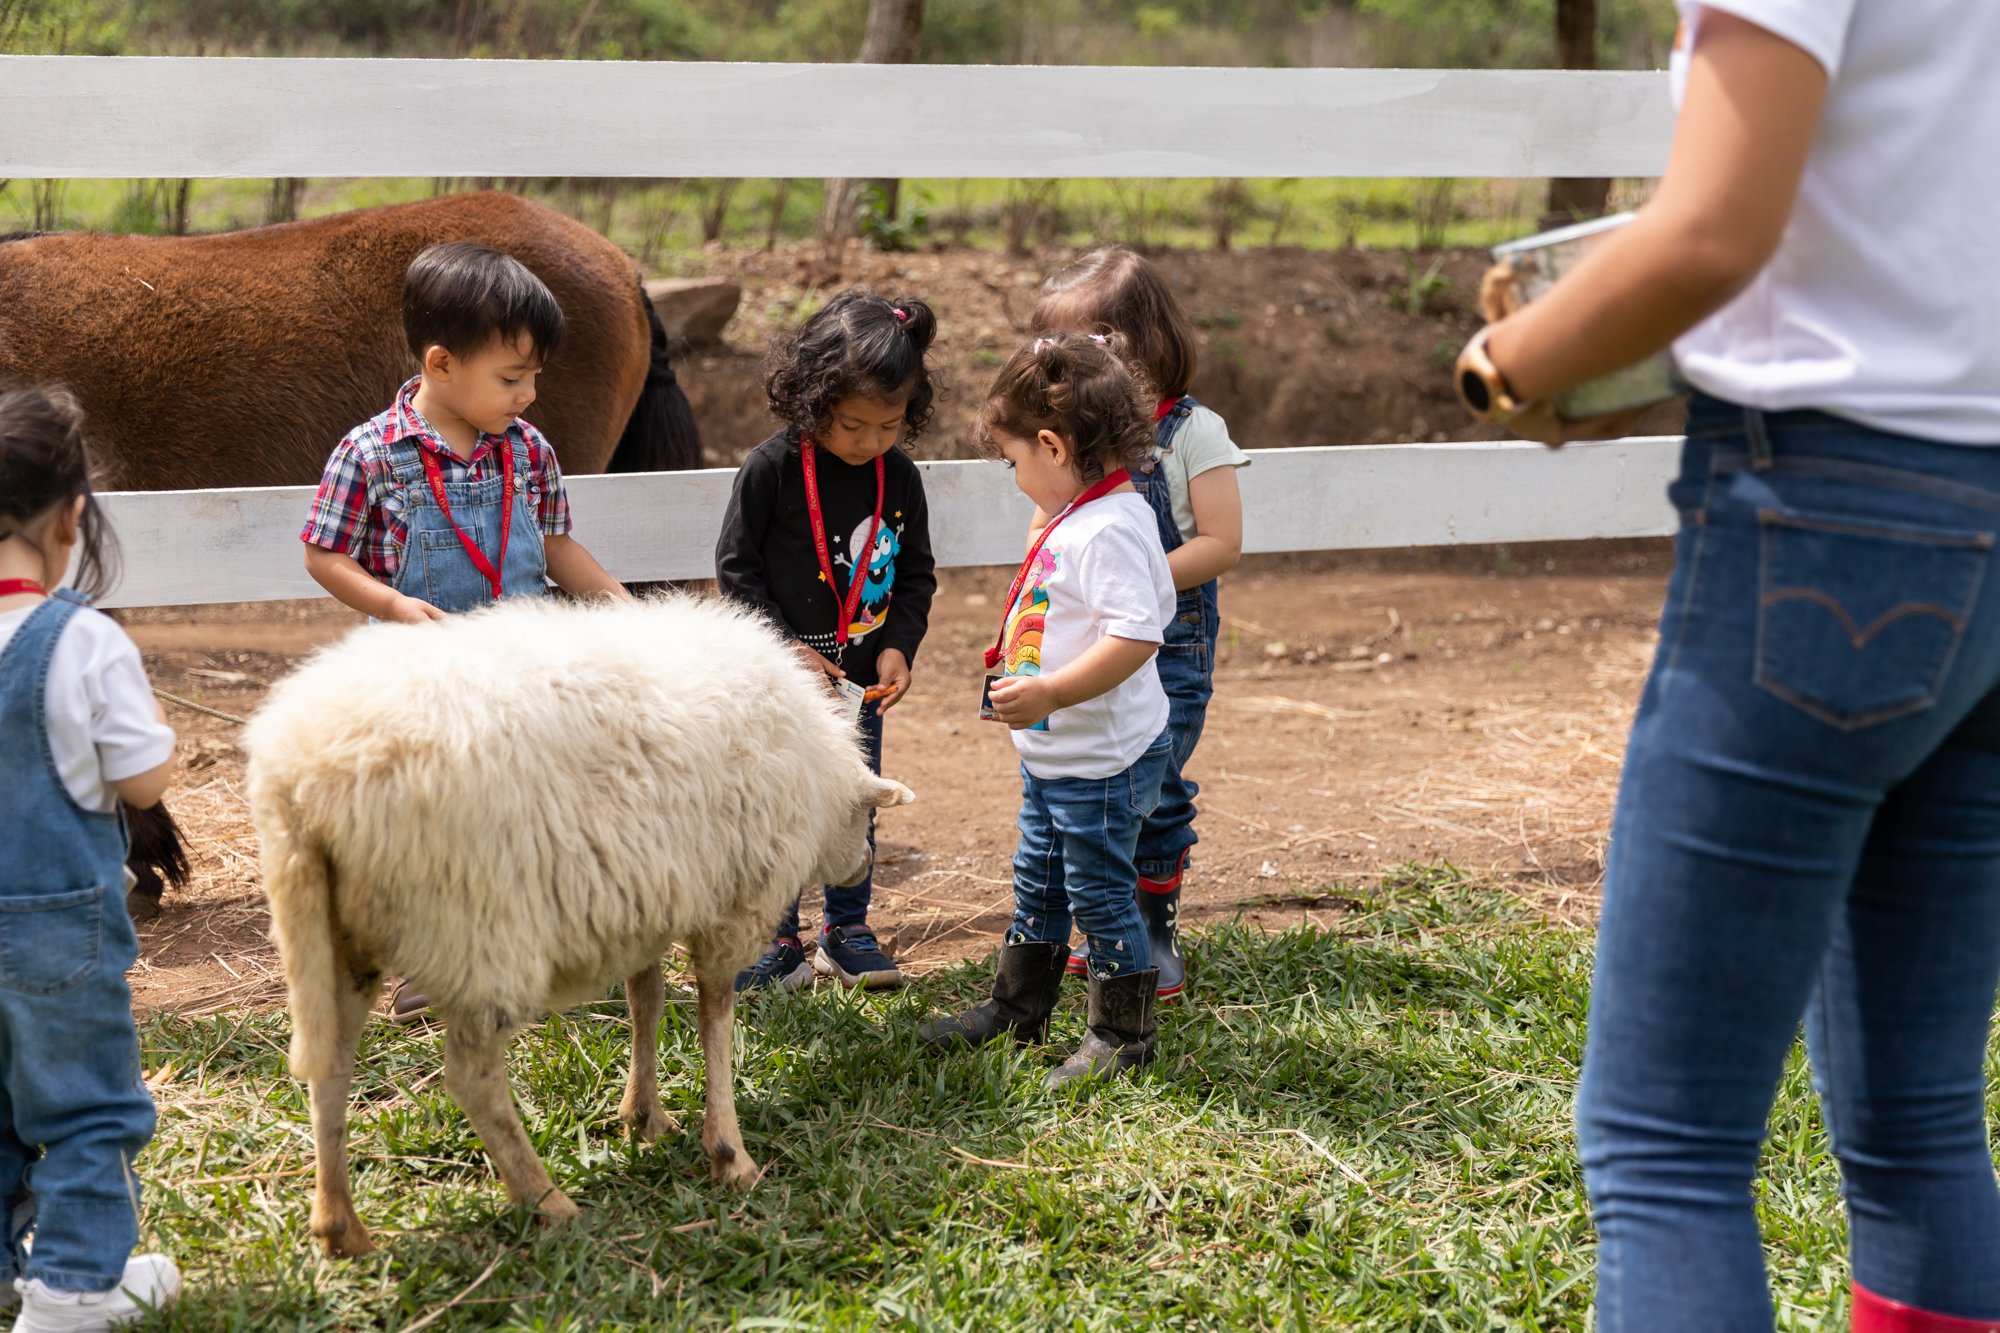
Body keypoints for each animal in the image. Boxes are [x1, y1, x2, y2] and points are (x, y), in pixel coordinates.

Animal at [243, 594, 912, 1257]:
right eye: (868, 818)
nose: (866, 862)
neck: (815, 773)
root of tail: (300, 781)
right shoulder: (731, 909)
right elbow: (714, 1021)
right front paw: (728, 1152)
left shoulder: (647, 901)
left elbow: (647, 1002)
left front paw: (644, 1115)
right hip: (479, 932)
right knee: (471, 1079)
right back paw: (547, 1201)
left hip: (333, 936)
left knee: (330, 1067)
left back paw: (341, 1226)